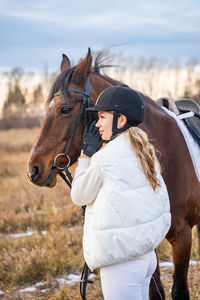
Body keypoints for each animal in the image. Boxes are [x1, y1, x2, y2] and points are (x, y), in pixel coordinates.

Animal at [27, 48, 200, 298]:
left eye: (64, 109)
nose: (33, 168)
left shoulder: (183, 237)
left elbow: (179, 290)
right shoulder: (147, 241)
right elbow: (155, 290)